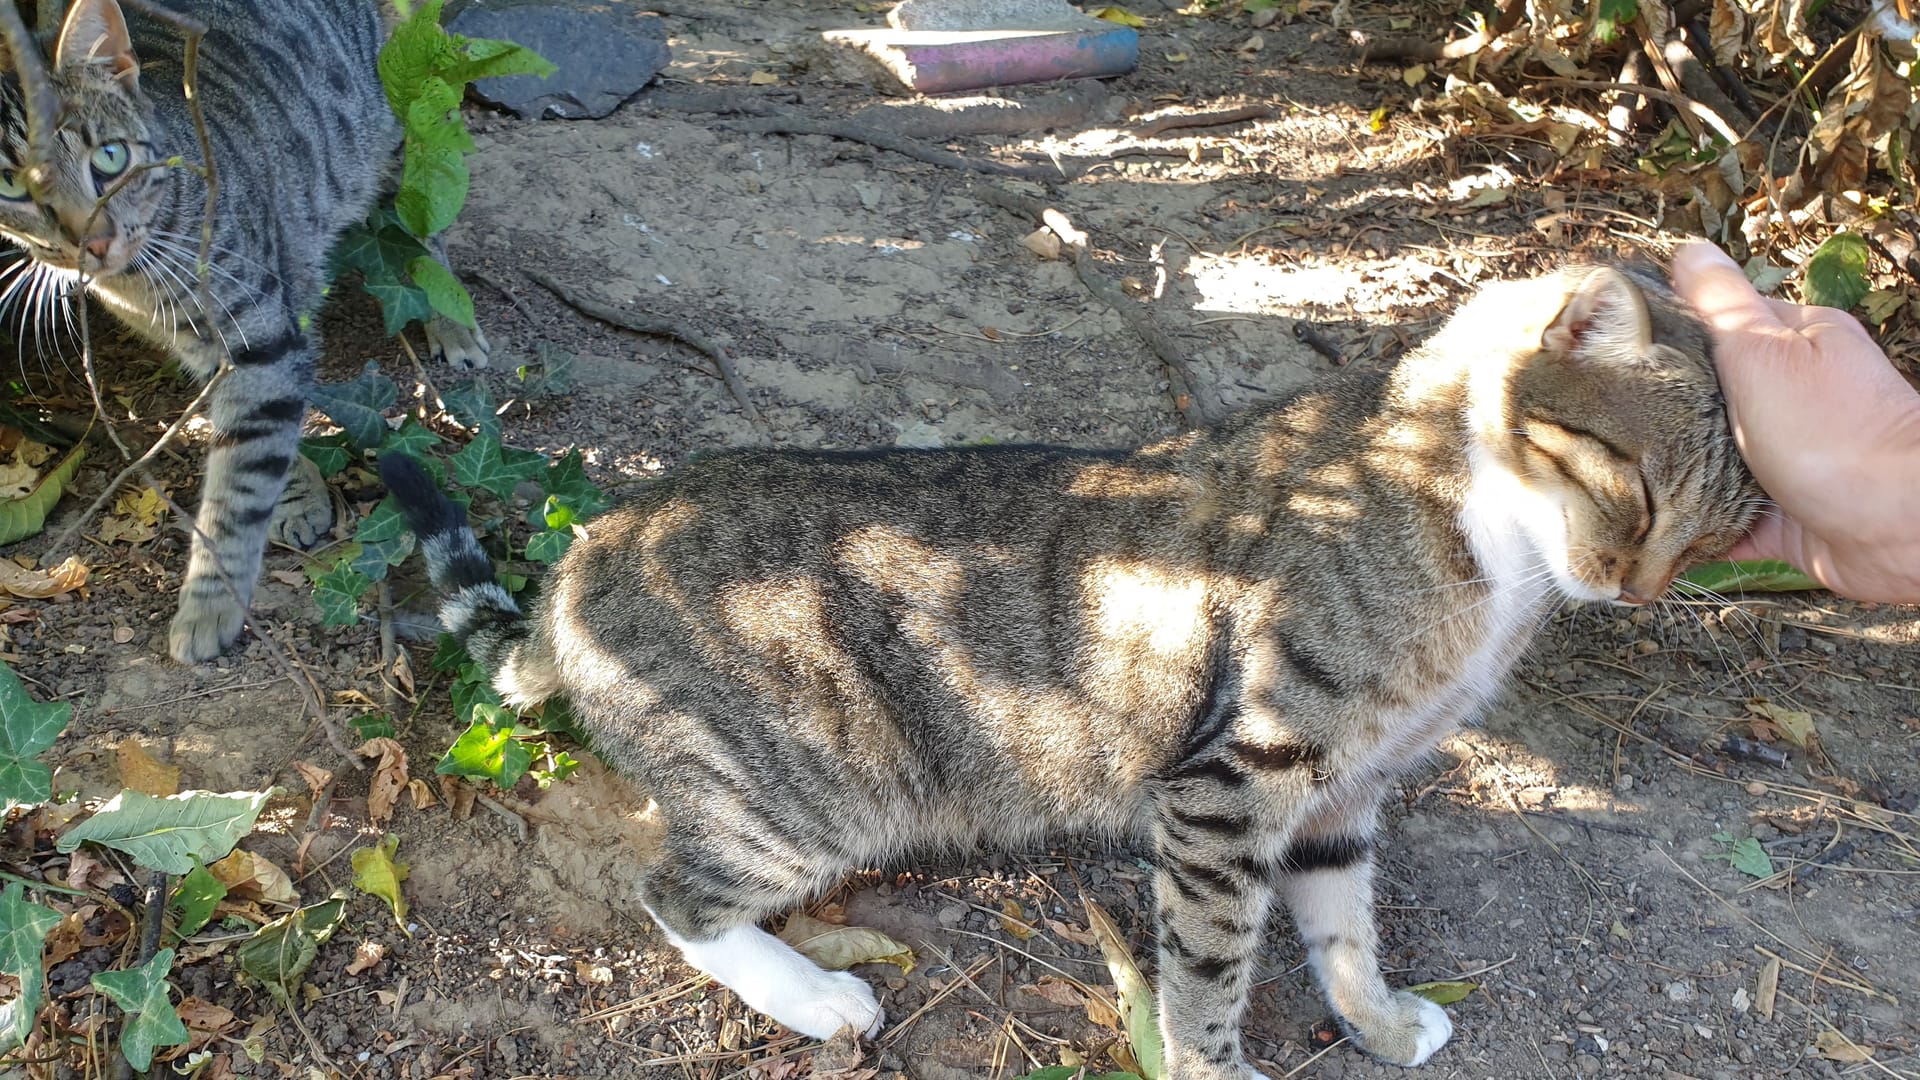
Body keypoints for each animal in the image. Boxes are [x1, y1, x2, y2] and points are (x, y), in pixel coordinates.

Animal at [0, 0, 487, 661]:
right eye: (12, 187)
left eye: (110, 158)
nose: (90, 240)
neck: (138, 281)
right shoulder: (217, 352)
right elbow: (262, 445)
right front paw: (300, 494)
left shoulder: (261, 339)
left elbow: (238, 491)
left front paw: (211, 604)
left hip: (400, 114)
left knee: (422, 216)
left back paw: (449, 318)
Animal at [378, 265, 1758, 1068]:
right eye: (1638, 492)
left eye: (1708, 545)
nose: (1637, 588)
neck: (1484, 548)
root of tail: (587, 546)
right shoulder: (1230, 782)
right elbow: (1209, 969)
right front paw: (1215, 1062)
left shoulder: (1346, 787)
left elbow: (1346, 926)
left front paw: (1372, 1019)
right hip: (807, 793)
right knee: (675, 895)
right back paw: (817, 996)